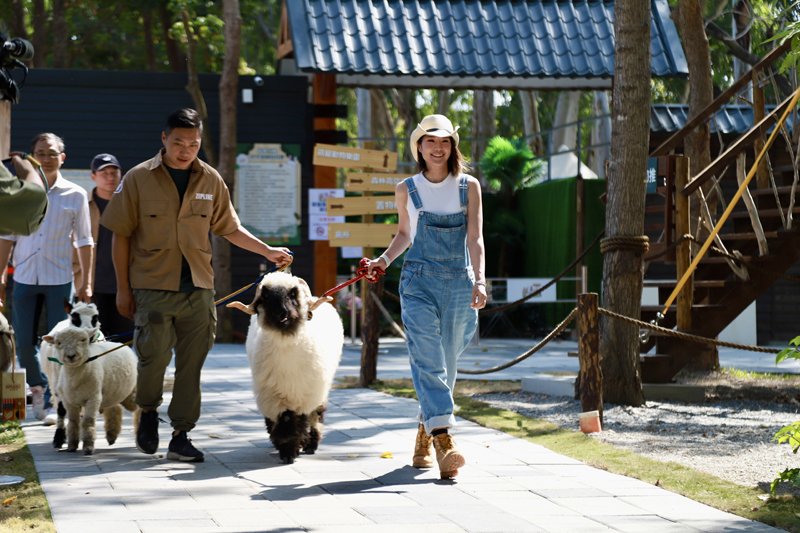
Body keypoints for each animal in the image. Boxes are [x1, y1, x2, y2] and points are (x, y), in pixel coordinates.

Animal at [42, 326, 138, 456]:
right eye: (58, 343)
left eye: (83, 340)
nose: (71, 355)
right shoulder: (69, 401)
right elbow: (73, 421)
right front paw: (72, 446)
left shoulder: (93, 398)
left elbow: (87, 421)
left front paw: (88, 447)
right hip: (112, 392)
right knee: (115, 408)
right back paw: (111, 435)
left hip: (130, 392)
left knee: (140, 407)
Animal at [230, 270, 346, 462]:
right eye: (265, 295)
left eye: (292, 294)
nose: (280, 313)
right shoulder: (272, 394)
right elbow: (285, 419)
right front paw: (287, 450)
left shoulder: (306, 393)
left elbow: (301, 418)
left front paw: (294, 449)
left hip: (321, 388)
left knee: (316, 415)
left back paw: (311, 444)